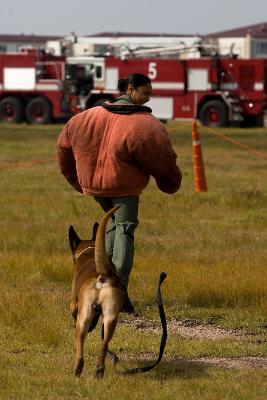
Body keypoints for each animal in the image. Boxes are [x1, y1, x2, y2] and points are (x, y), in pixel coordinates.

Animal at [68, 206, 124, 378]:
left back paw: (76, 372)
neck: (89, 251)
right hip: (111, 318)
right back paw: (99, 369)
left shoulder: (74, 305)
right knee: (104, 343)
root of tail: (103, 275)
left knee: (80, 355)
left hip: (83, 319)